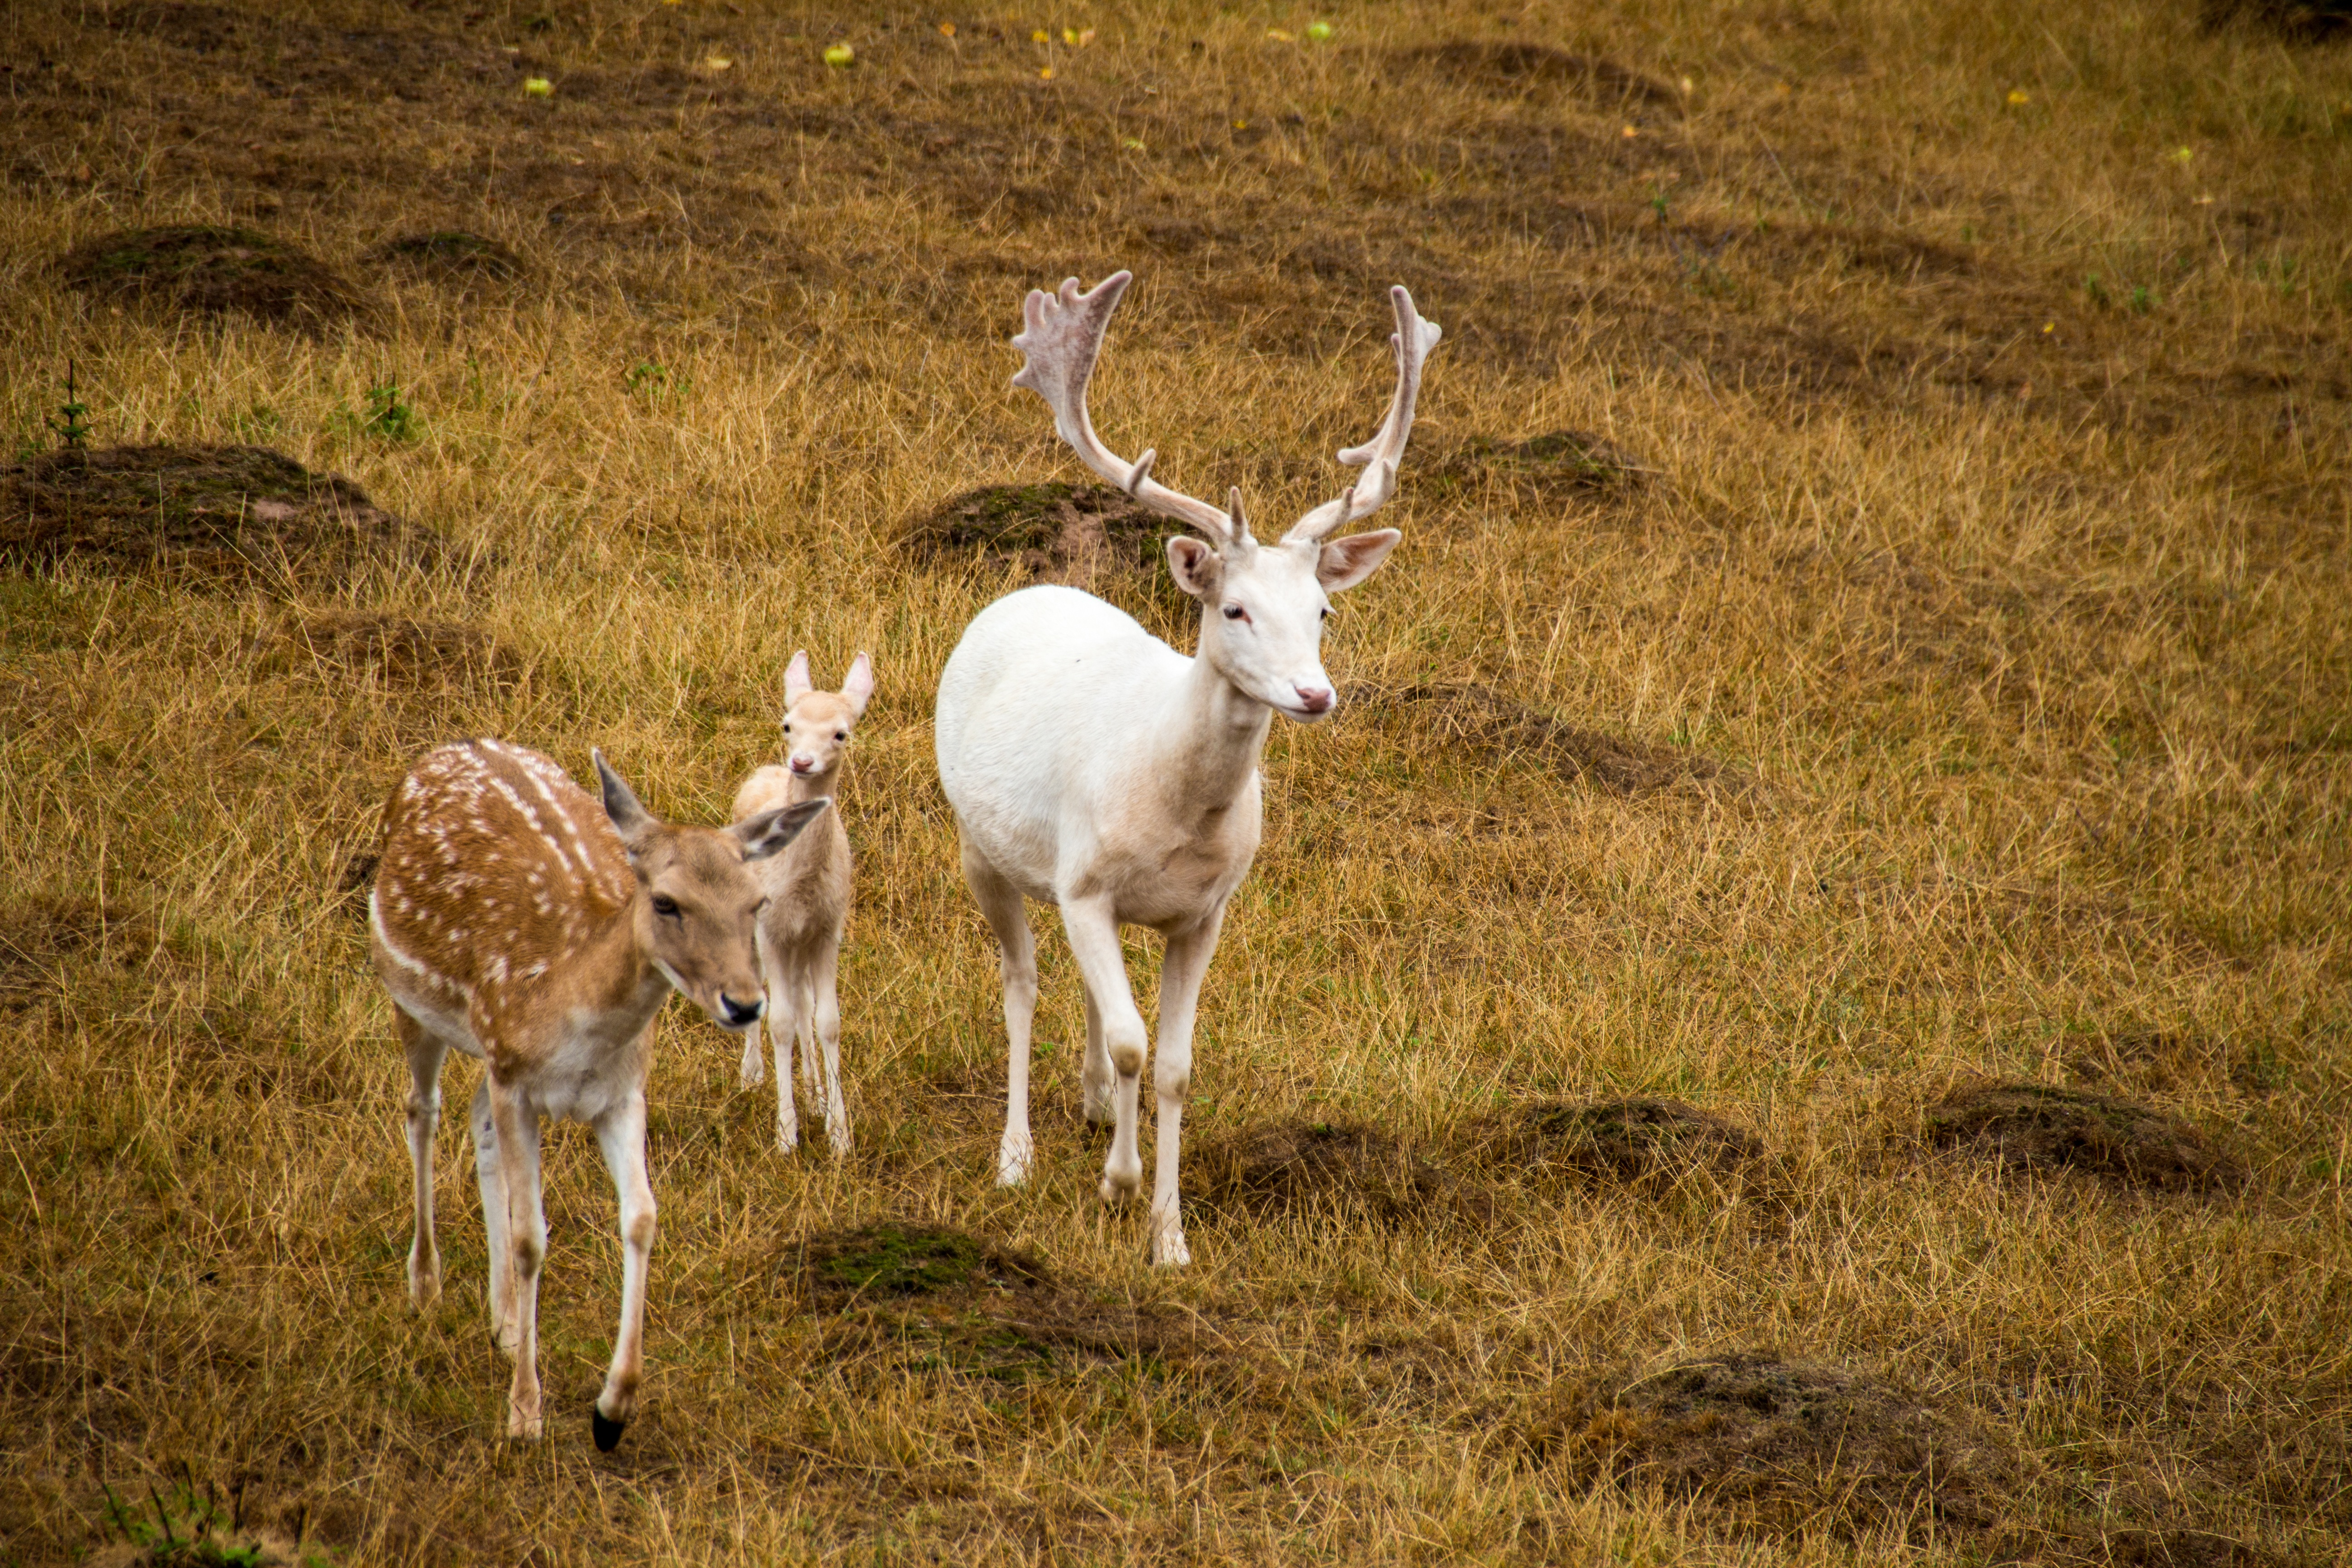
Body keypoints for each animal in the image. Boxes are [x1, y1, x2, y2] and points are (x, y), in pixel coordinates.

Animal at [369, 737, 828, 1446]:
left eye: (756, 903)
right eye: (666, 902)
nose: (746, 1003)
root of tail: (447, 750)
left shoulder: (620, 1094)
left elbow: (641, 1218)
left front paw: (612, 1409)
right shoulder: (517, 1078)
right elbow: (531, 1237)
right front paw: (524, 1413)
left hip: (490, 1059)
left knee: (476, 1122)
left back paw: (505, 1324)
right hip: (411, 997)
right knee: (424, 1111)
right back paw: (426, 1288)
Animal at [731, 649, 874, 1155]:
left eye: (841, 733)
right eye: (788, 724)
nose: (803, 761)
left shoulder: (829, 927)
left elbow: (827, 1020)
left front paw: (839, 1135)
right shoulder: (772, 929)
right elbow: (780, 1021)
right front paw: (786, 1136)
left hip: (804, 944)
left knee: (803, 1002)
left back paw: (814, 1095)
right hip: (750, 923)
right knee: (765, 995)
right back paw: (751, 1076)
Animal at [934, 270, 1439, 1266]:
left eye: (1323, 610)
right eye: (1233, 608)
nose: (1315, 694)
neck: (1177, 811)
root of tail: (1027, 590)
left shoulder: (1204, 910)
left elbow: (1170, 1063)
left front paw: (1168, 1235)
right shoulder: (1085, 881)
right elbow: (1135, 1043)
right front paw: (1120, 1185)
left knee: (1085, 994)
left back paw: (1093, 1105)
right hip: (980, 846)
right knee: (1021, 981)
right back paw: (1017, 1154)